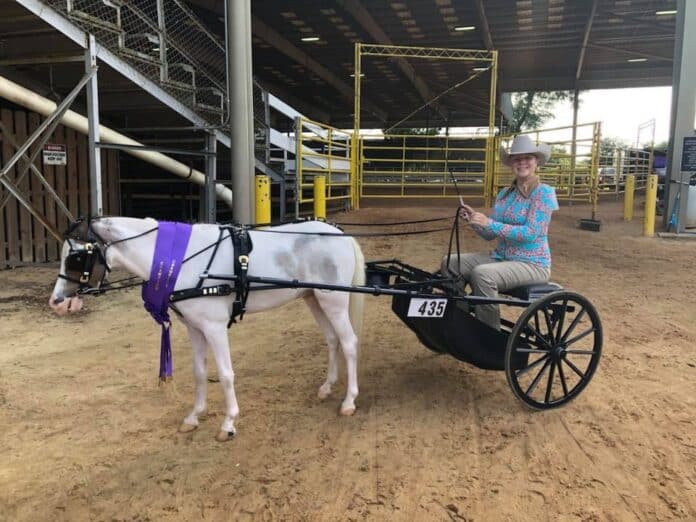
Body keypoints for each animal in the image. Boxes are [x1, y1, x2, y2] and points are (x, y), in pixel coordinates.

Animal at [48, 215, 364, 438]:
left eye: (76, 256)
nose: (57, 302)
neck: (184, 262)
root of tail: (342, 236)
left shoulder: (214, 327)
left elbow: (225, 374)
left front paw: (229, 423)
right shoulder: (194, 328)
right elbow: (200, 372)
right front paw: (193, 417)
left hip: (333, 300)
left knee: (349, 343)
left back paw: (349, 401)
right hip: (314, 298)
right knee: (332, 340)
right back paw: (327, 387)